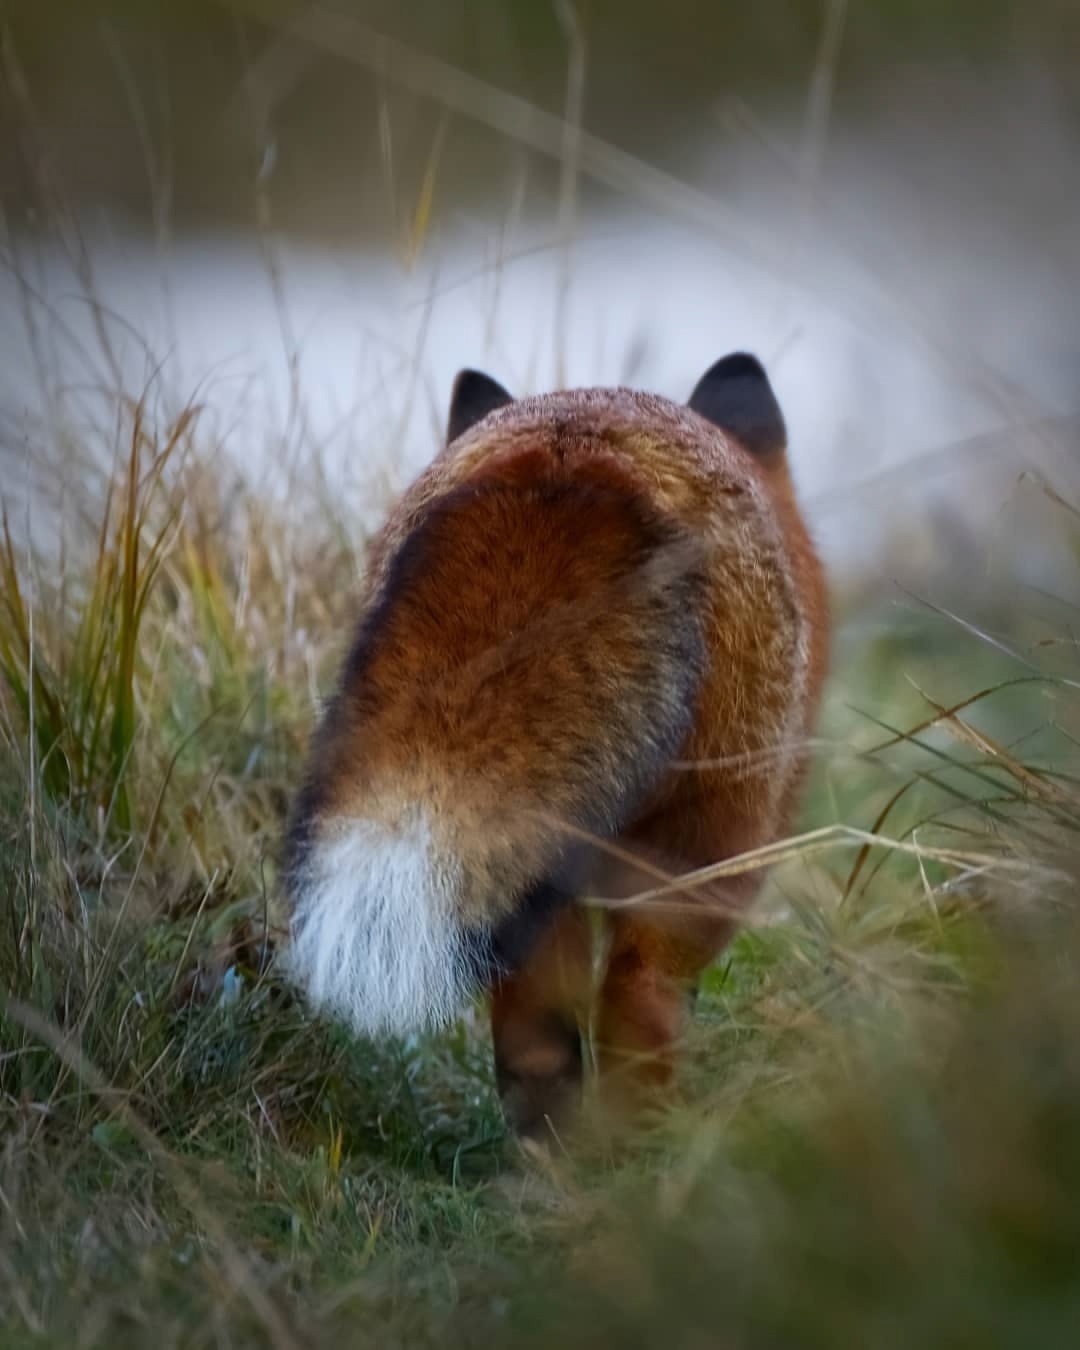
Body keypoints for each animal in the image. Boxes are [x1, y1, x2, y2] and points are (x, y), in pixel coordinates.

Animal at [282, 353, 831, 1134]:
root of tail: (569, 452)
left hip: (518, 879)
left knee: (537, 1048)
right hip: (694, 854)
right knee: (639, 1004)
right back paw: (649, 1148)